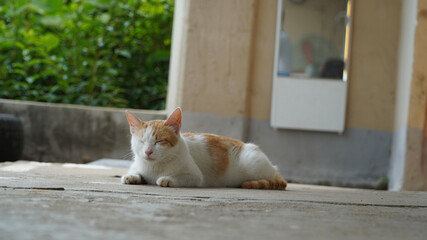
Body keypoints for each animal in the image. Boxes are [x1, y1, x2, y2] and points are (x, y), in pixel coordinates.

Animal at [120, 108, 288, 190]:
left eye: (159, 141)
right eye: (141, 141)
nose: (148, 152)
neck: (154, 167)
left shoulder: (195, 176)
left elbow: (179, 177)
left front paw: (167, 179)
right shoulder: (138, 165)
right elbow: (135, 172)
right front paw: (131, 177)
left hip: (253, 164)